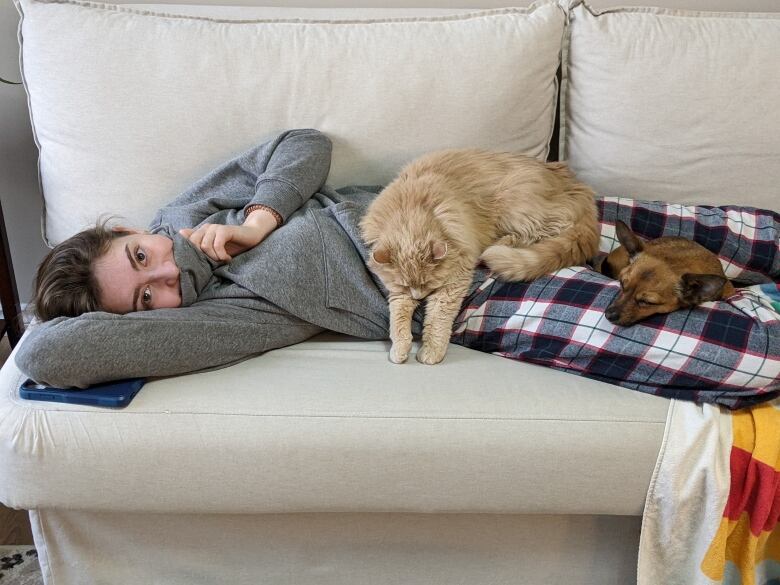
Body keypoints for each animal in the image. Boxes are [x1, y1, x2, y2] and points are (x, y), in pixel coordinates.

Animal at [362, 148, 600, 362]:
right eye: (407, 284)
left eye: (427, 283)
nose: (418, 297)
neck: (412, 210)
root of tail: (574, 184)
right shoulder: (399, 292)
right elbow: (399, 319)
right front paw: (400, 349)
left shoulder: (454, 280)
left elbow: (438, 319)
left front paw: (431, 352)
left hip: (516, 205)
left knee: (543, 232)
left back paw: (497, 245)